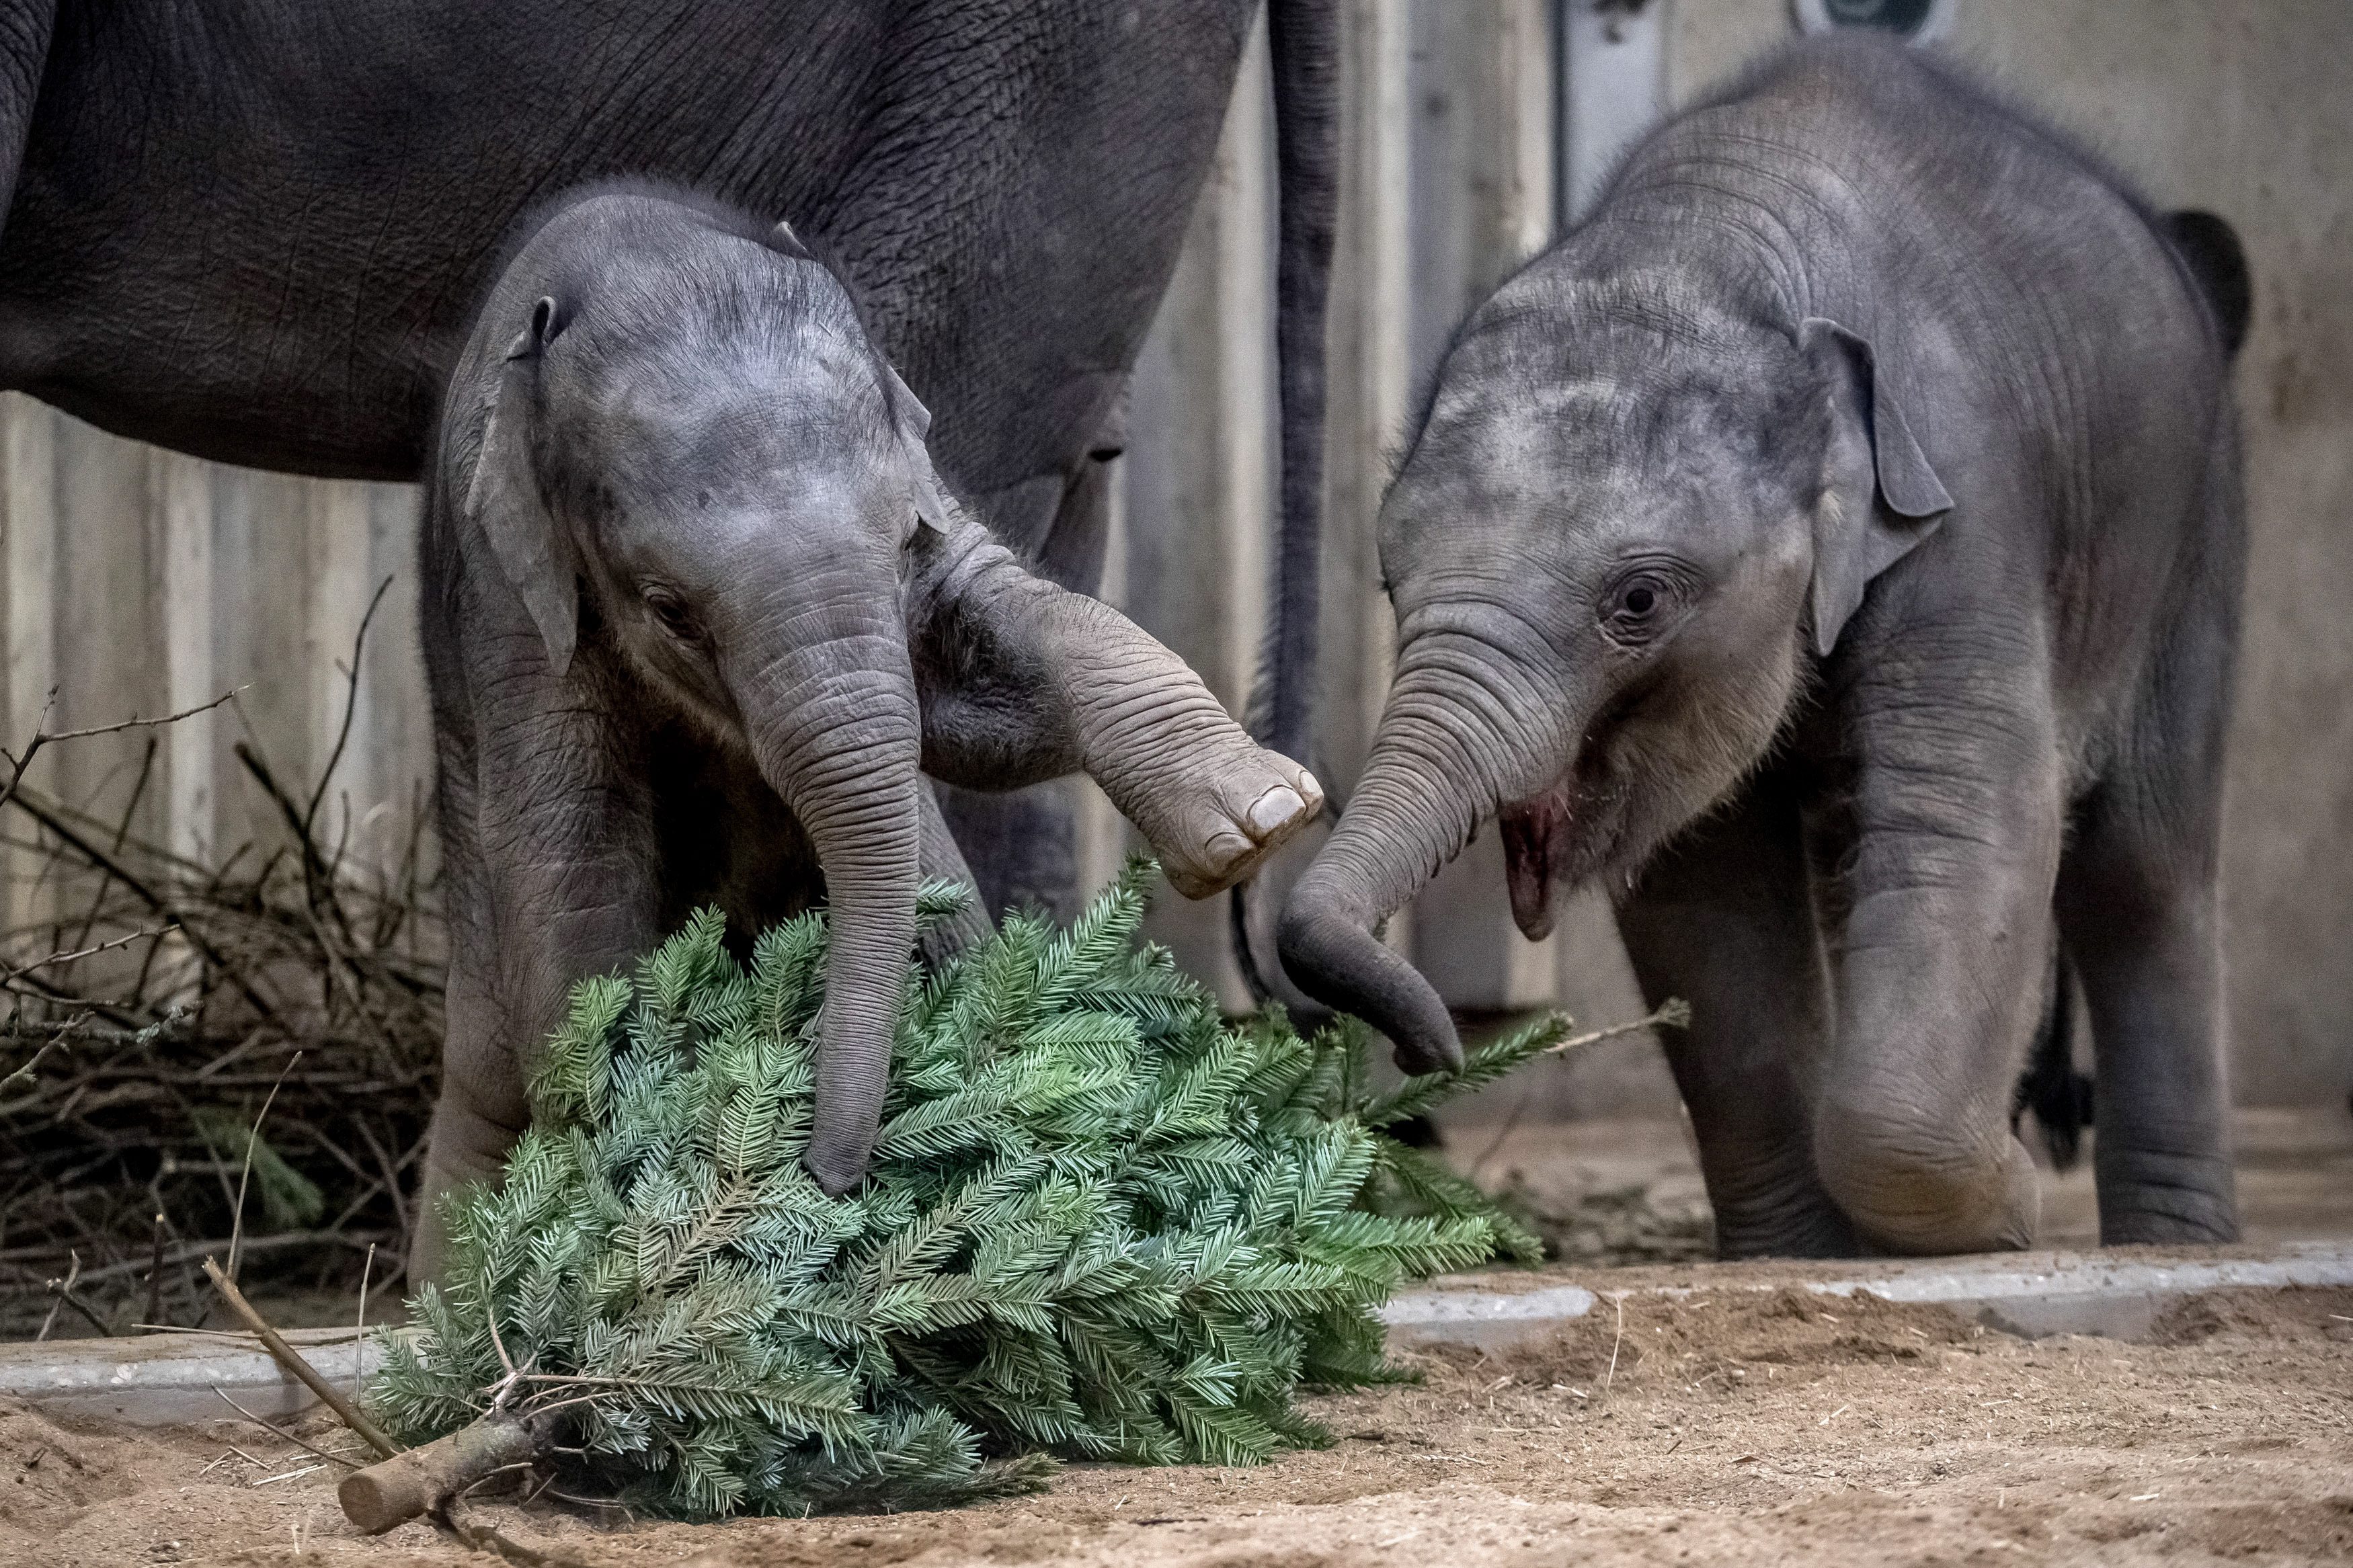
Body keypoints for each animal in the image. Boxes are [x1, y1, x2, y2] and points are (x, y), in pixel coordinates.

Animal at [414, 184, 1318, 1278]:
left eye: (895, 545)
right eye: (669, 610)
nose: (828, 1176)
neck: (637, 247)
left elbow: (985, 682)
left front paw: (1260, 821)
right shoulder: (508, 606)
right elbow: (575, 854)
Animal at [1280, 40, 2249, 1260]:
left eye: (1639, 599)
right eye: (1387, 580)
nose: (1432, 1060)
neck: (1718, 251)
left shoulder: (1967, 499)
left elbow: (1963, 815)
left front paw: (2010, 1212)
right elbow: (1701, 886)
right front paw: (1811, 1252)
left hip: (2191, 542)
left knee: (2145, 869)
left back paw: (2177, 1246)